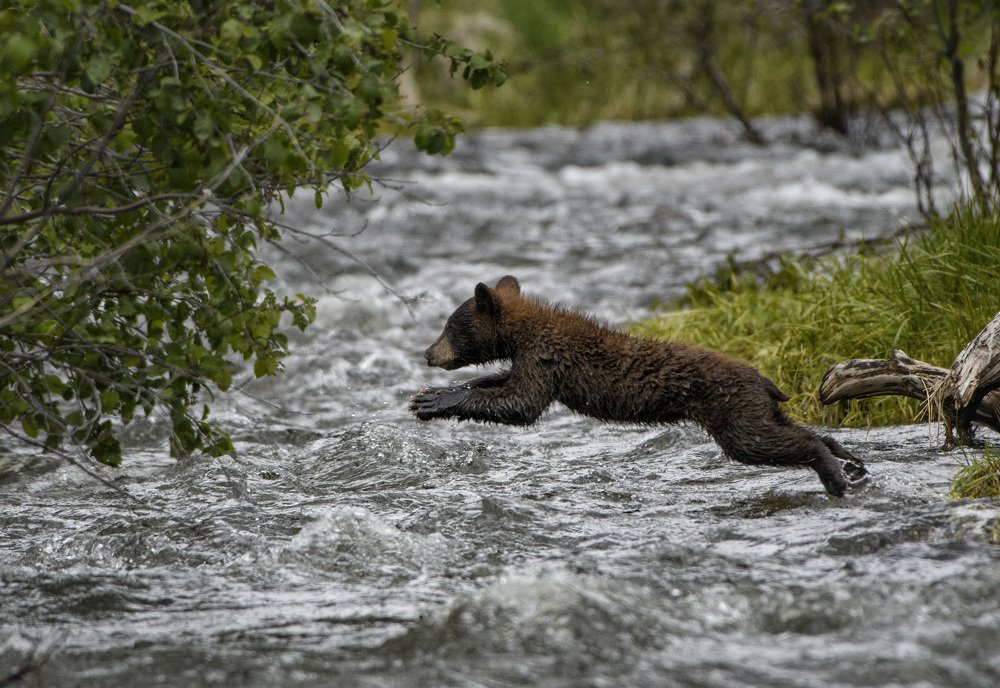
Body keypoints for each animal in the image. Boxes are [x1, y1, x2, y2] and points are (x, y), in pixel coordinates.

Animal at [409, 275, 868, 497]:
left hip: (730, 409)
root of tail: (765, 381)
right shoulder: (532, 359)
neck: (525, 333)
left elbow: (521, 403)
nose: (428, 353)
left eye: (450, 327)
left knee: (761, 441)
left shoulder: (545, 356)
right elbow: (505, 383)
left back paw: (832, 474)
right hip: (756, 405)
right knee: (786, 427)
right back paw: (847, 457)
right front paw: (431, 394)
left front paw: (435, 401)